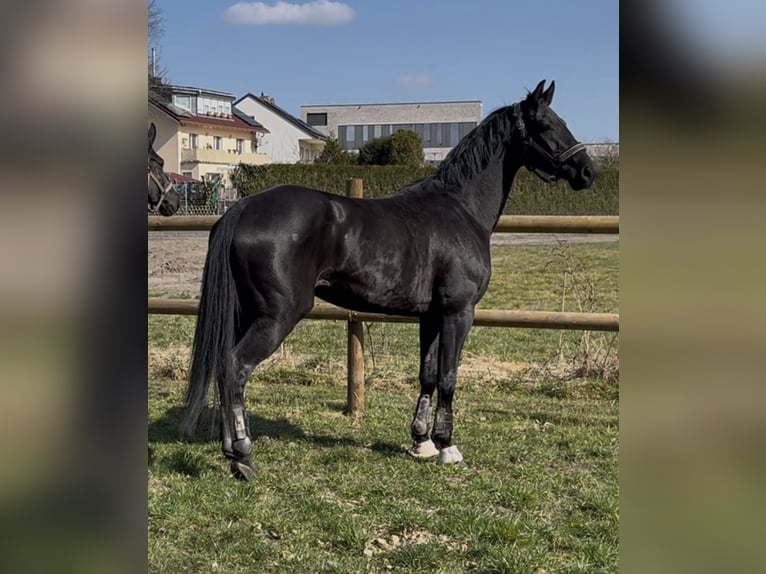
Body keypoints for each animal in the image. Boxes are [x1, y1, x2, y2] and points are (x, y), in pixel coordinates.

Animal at [183, 79, 596, 480]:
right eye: (546, 125)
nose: (588, 171)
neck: (460, 209)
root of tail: (241, 209)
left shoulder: (431, 316)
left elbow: (428, 374)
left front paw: (422, 442)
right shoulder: (458, 312)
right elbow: (448, 376)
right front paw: (448, 447)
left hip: (244, 313)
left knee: (223, 368)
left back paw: (229, 451)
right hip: (277, 315)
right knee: (236, 368)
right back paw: (243, 456)